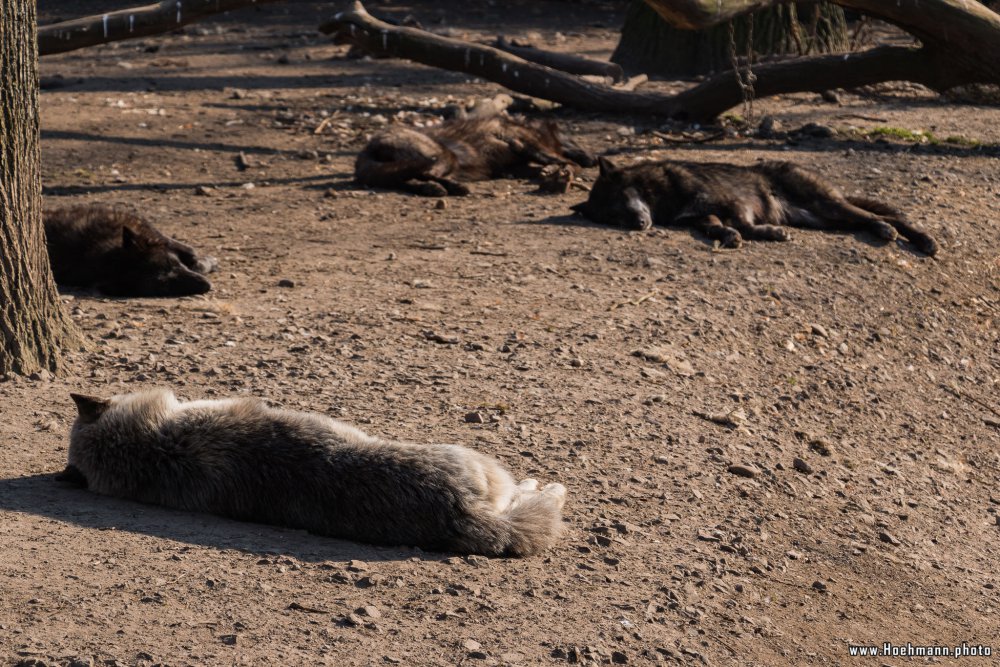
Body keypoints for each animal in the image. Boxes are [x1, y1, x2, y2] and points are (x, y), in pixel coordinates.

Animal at [356, 111, 592, 196]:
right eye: (574, 139)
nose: (593, 158)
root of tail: (366, 149)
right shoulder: (525, 141)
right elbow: (567, 161)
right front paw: (558, 166)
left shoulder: (516, 167)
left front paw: (551, 170)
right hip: (443, 156)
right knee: (423, 173)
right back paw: (453, 188)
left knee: (405, 180)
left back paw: (434, 189)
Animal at [572, 158, 936, 258]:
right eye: (612, 216)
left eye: (621, 201)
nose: (637, 224)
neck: (664, 192)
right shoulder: (703, 214)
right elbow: (716, 226)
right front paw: (728, 236)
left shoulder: (735, 203)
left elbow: (745, 226)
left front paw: (770, 233)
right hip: (826, 219)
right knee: (874, 218)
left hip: (831, 207)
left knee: (881, 215)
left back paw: (916, 238)